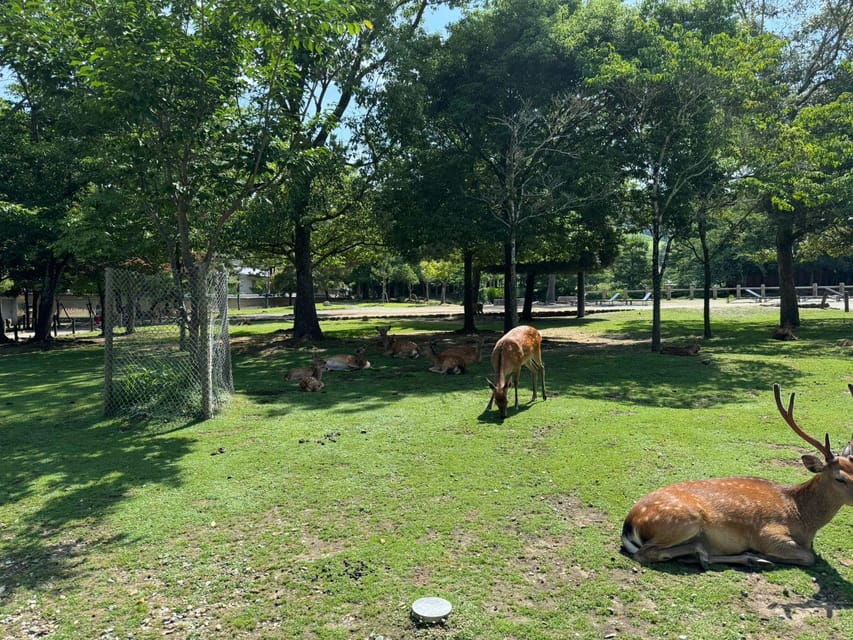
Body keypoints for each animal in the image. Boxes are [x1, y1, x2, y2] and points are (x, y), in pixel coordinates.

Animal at [621, 383, 853, 568]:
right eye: (839, 478)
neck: (803, 519)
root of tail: (629, 525)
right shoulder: (767, 532)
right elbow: (808, 557)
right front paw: (763, 554)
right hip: (684, 520)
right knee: (646, 553)